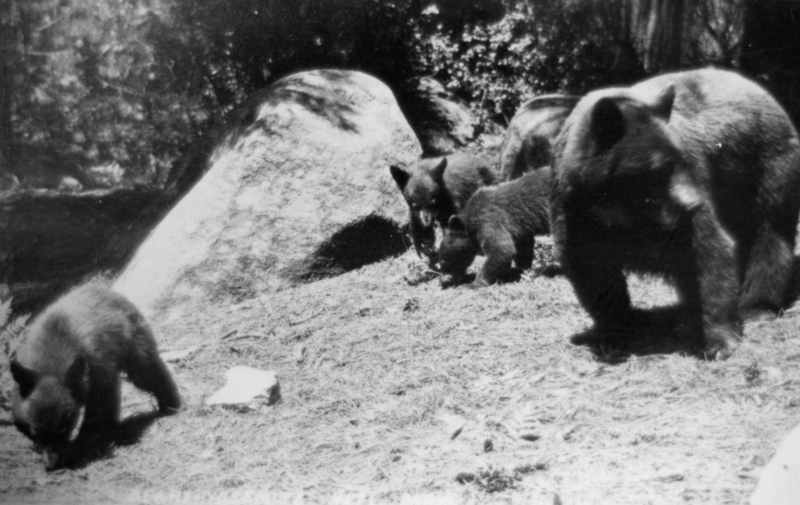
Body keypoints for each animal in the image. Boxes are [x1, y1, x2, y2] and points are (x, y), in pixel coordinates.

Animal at [10, 284, 182, 470]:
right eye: (36, 431)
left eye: (63, 429)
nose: (51, 465)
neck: (51, 354)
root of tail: (104, 288)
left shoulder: (97, 370)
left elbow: (100, 410)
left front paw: (80, 447)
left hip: (134, 344)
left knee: (148, 372)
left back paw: (170, 404)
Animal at [550, 67, 800, 360]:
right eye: (657, 169)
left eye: (680, 159)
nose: (692, 203)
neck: (620, 211)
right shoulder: (575, 211)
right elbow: (591, 268)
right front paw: (614, 333)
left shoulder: (690, 198)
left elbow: (706, 253)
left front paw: (719, 341)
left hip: (765, 166)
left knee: (769, 233)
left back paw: (757, 307)